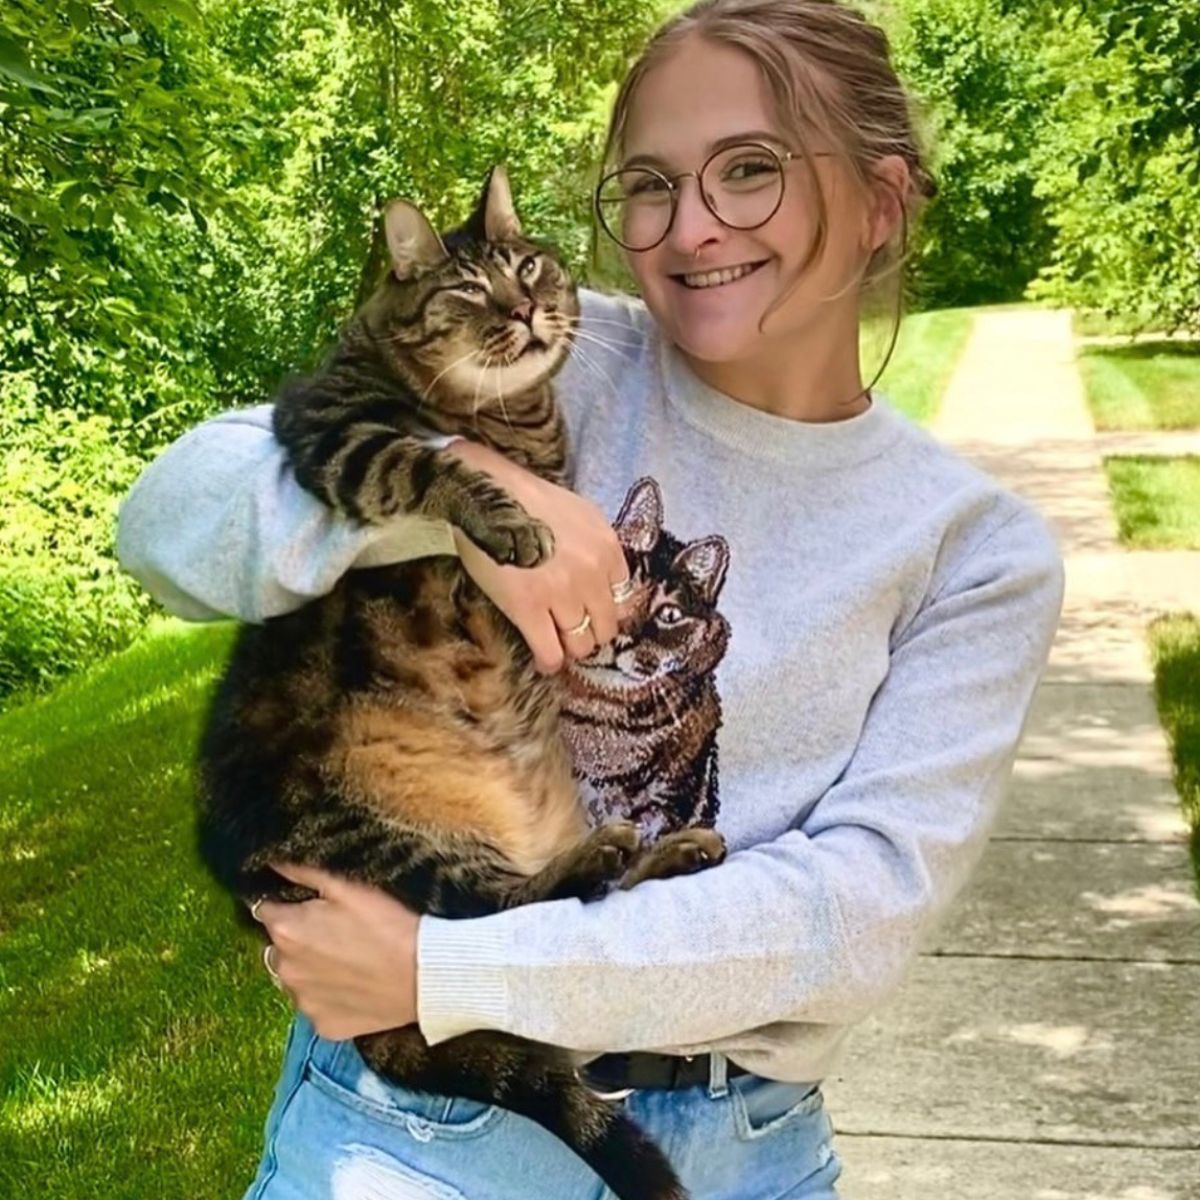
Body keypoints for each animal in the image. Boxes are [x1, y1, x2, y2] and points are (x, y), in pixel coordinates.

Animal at [198, 169, 724, 1200]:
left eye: (529, 268)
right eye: (473, 289)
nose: (524, 308)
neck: (509, 418)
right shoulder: (325, 424)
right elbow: (428, 460)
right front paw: (509, 519)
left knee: (549, 944)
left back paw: (667, 854)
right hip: (376, 844)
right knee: (490, 919)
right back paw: (611, 859)